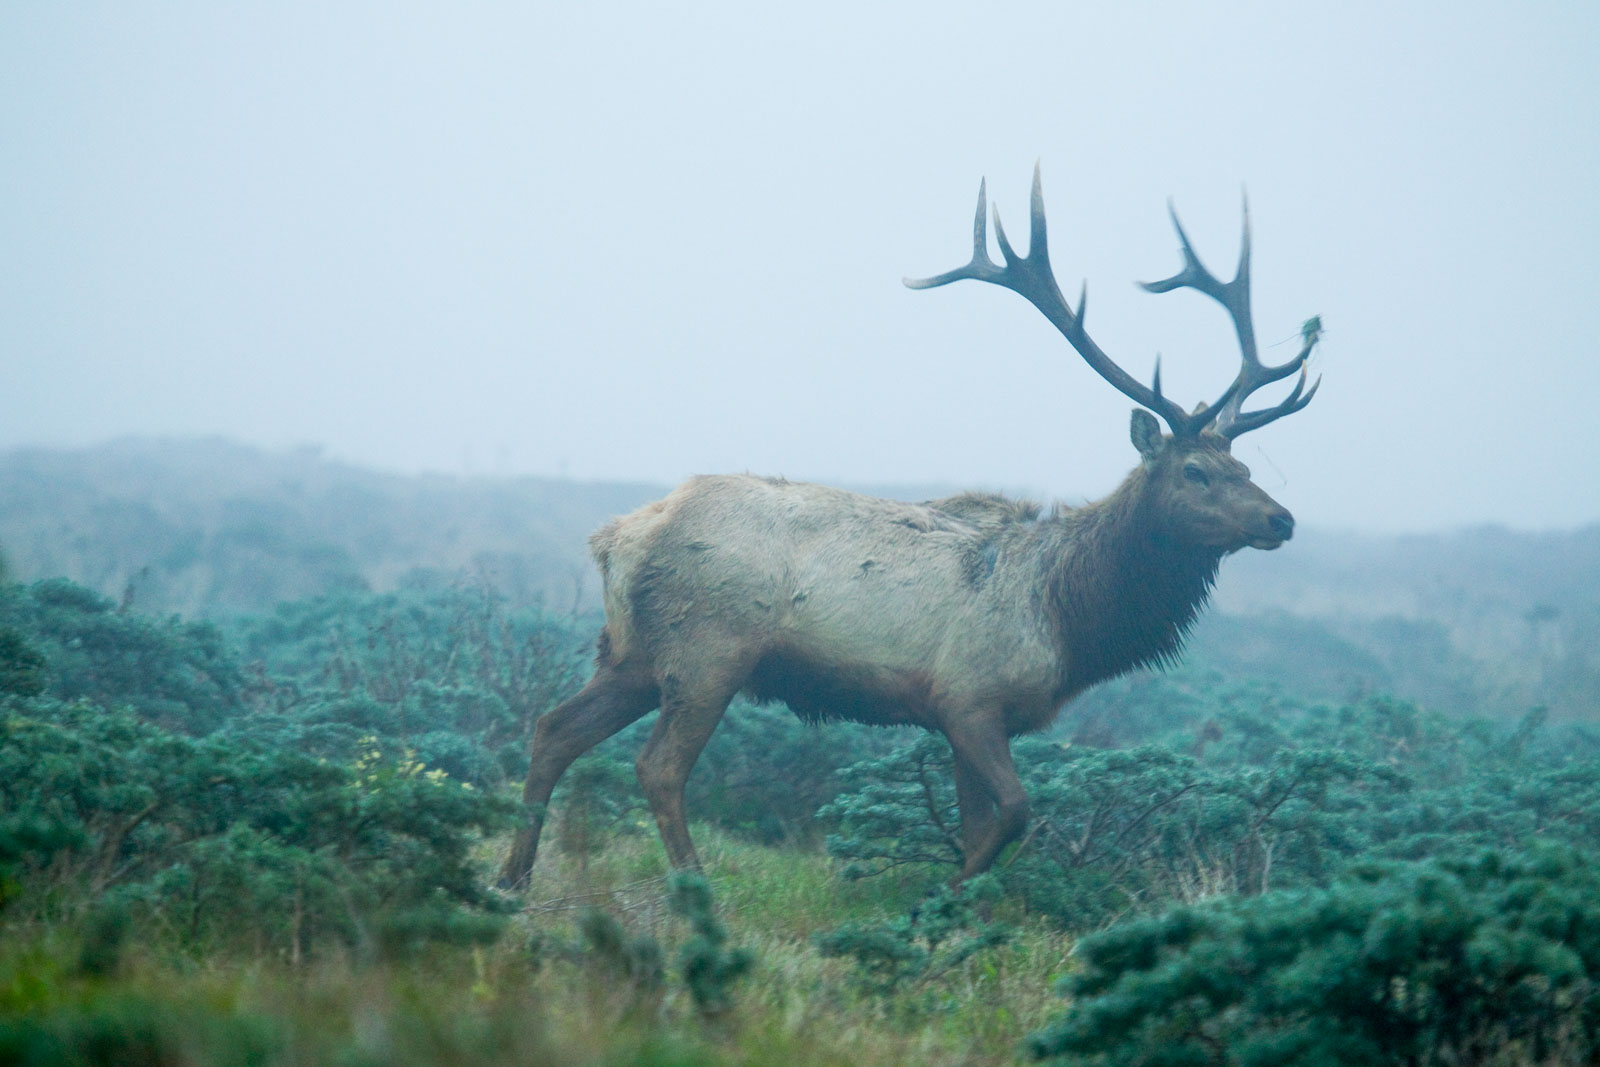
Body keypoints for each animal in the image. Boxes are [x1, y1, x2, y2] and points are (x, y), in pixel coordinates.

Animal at [496, 164, 1312, 883]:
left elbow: (983, 824)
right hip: (709, 649)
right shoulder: (968, 696)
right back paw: (695, 895)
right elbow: (1014, 815)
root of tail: (618, 538)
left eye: (1244, 467)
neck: (1070, 616)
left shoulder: (976, 717)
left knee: (554, 728)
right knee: (658, 767)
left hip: (632, 651)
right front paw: (938, 910)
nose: (1282, 518)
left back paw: (514, 876)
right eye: (1195, 472)